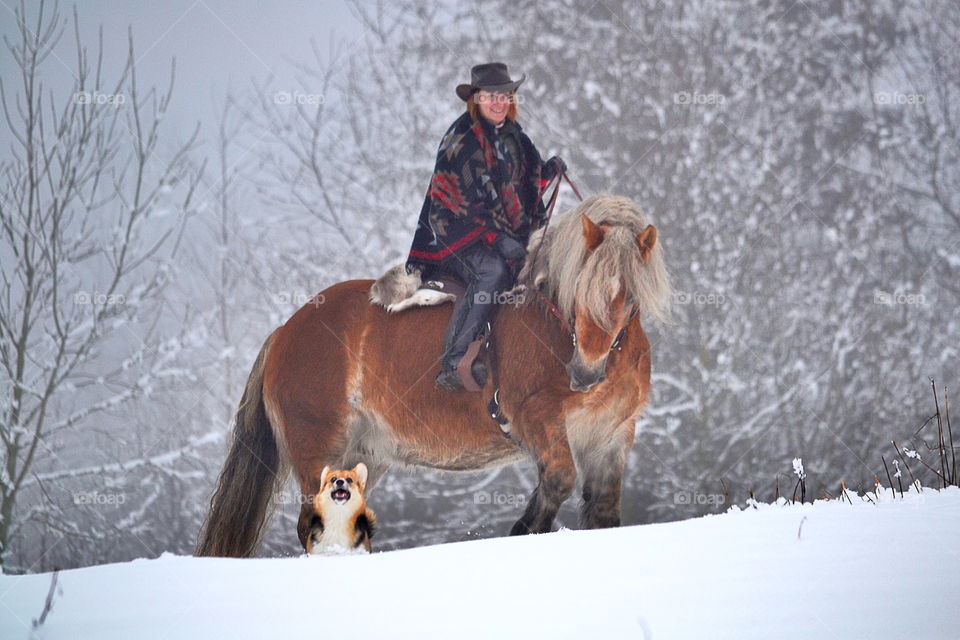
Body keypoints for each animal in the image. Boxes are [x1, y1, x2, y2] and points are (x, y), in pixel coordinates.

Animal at [199, 194, 672, 556]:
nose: (585, 373)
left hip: (360, 457)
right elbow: (557, 482)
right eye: (580, 288)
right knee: (312, 524)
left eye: (630, 296)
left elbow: (604, 512)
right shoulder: (538, 418)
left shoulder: (611, 436)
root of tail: (285, 331)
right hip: (318, 449)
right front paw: (521, 532)